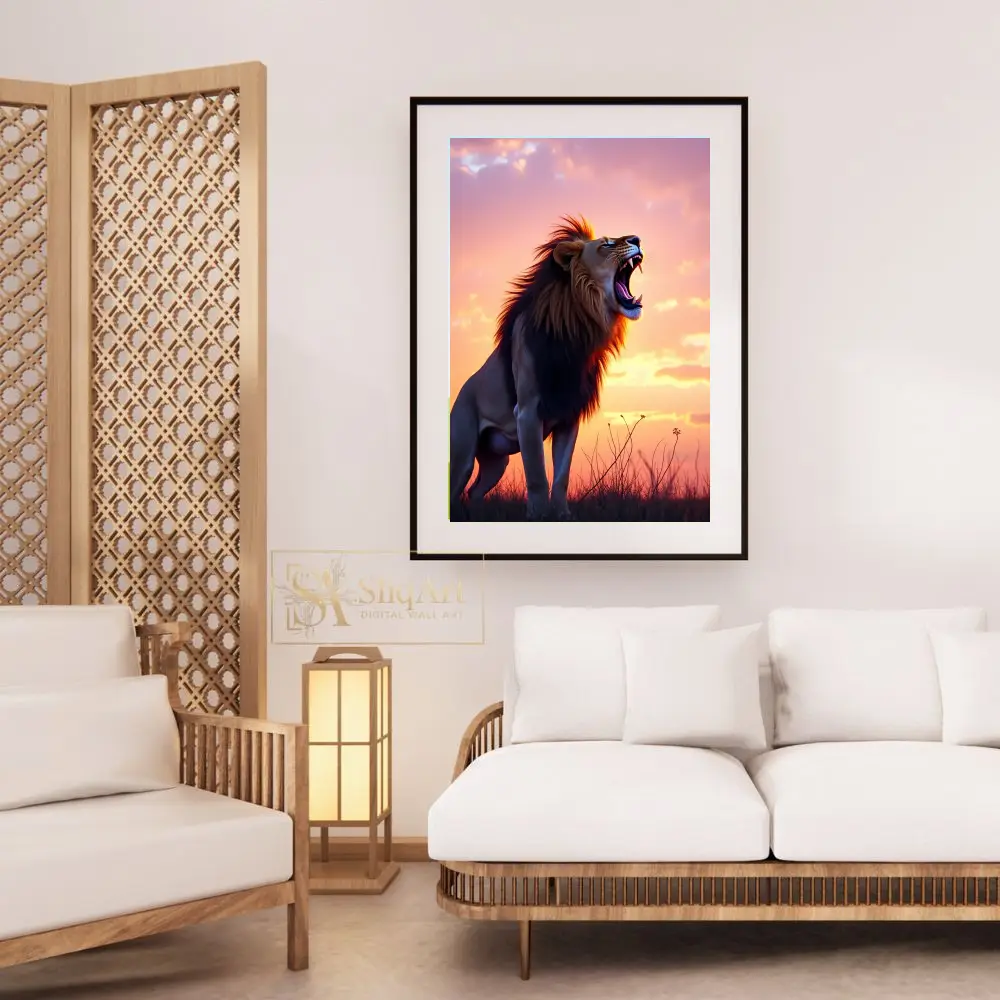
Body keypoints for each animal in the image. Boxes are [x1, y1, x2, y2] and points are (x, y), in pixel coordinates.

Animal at [450, 216, 644, 520]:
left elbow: (561, 476)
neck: (579, 329)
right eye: (606, 245)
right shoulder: (527, 413)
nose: (637, 239)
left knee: (474, 492)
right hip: (463, 455)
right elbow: (537, 475)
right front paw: (539, 515)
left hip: (496, 464)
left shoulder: (569, 415)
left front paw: (563, 515)